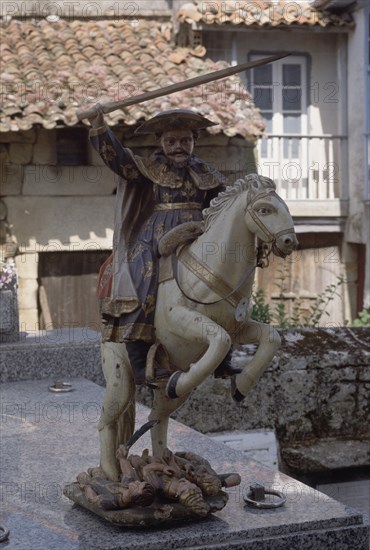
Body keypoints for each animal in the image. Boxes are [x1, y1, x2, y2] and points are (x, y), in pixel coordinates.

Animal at [96, 175, 298, 480]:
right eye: (264, 209)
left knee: (157, 419)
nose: (289, 241)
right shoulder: (180, 319)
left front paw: (241, 384)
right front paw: (182, 380)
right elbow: (220, 340)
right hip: (120, 381)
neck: (211, 270)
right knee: (107, 420)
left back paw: (164, 467)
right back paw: (111, 473)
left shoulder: (240, 328)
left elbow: (270, 337)